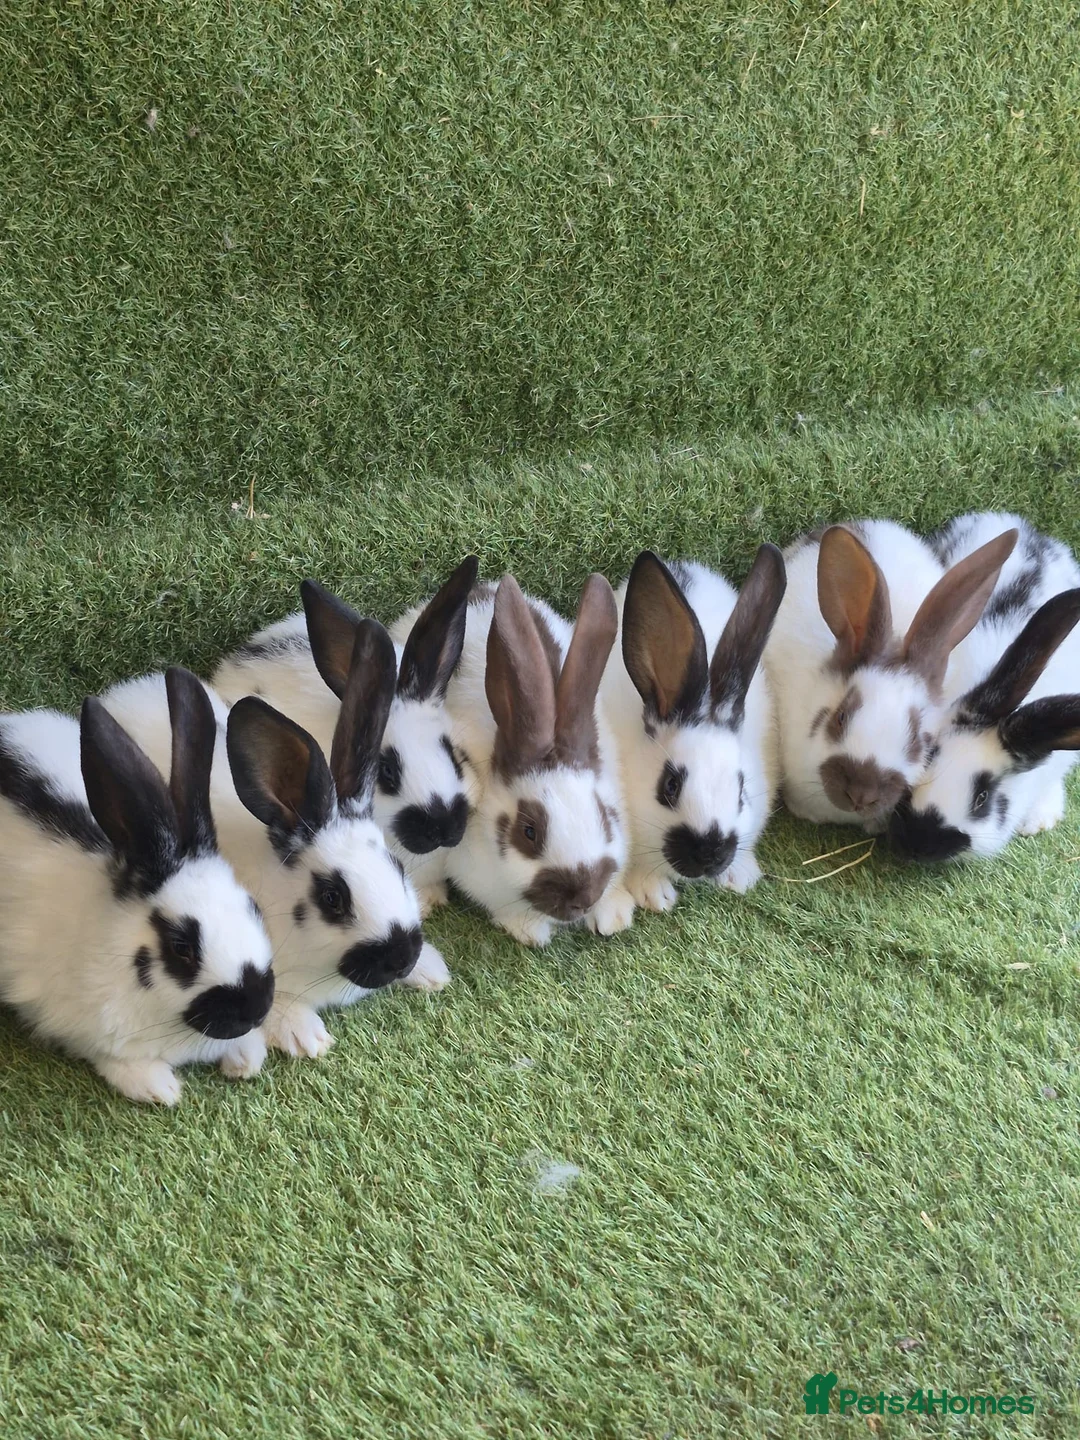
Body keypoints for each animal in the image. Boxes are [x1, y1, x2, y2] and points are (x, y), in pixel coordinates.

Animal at [0, 668, 275, 1105]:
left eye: (255, 907)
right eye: (181, 948)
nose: (256, 1009)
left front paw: (246, 1057)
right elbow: (114, 1059)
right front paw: (159, 1087)